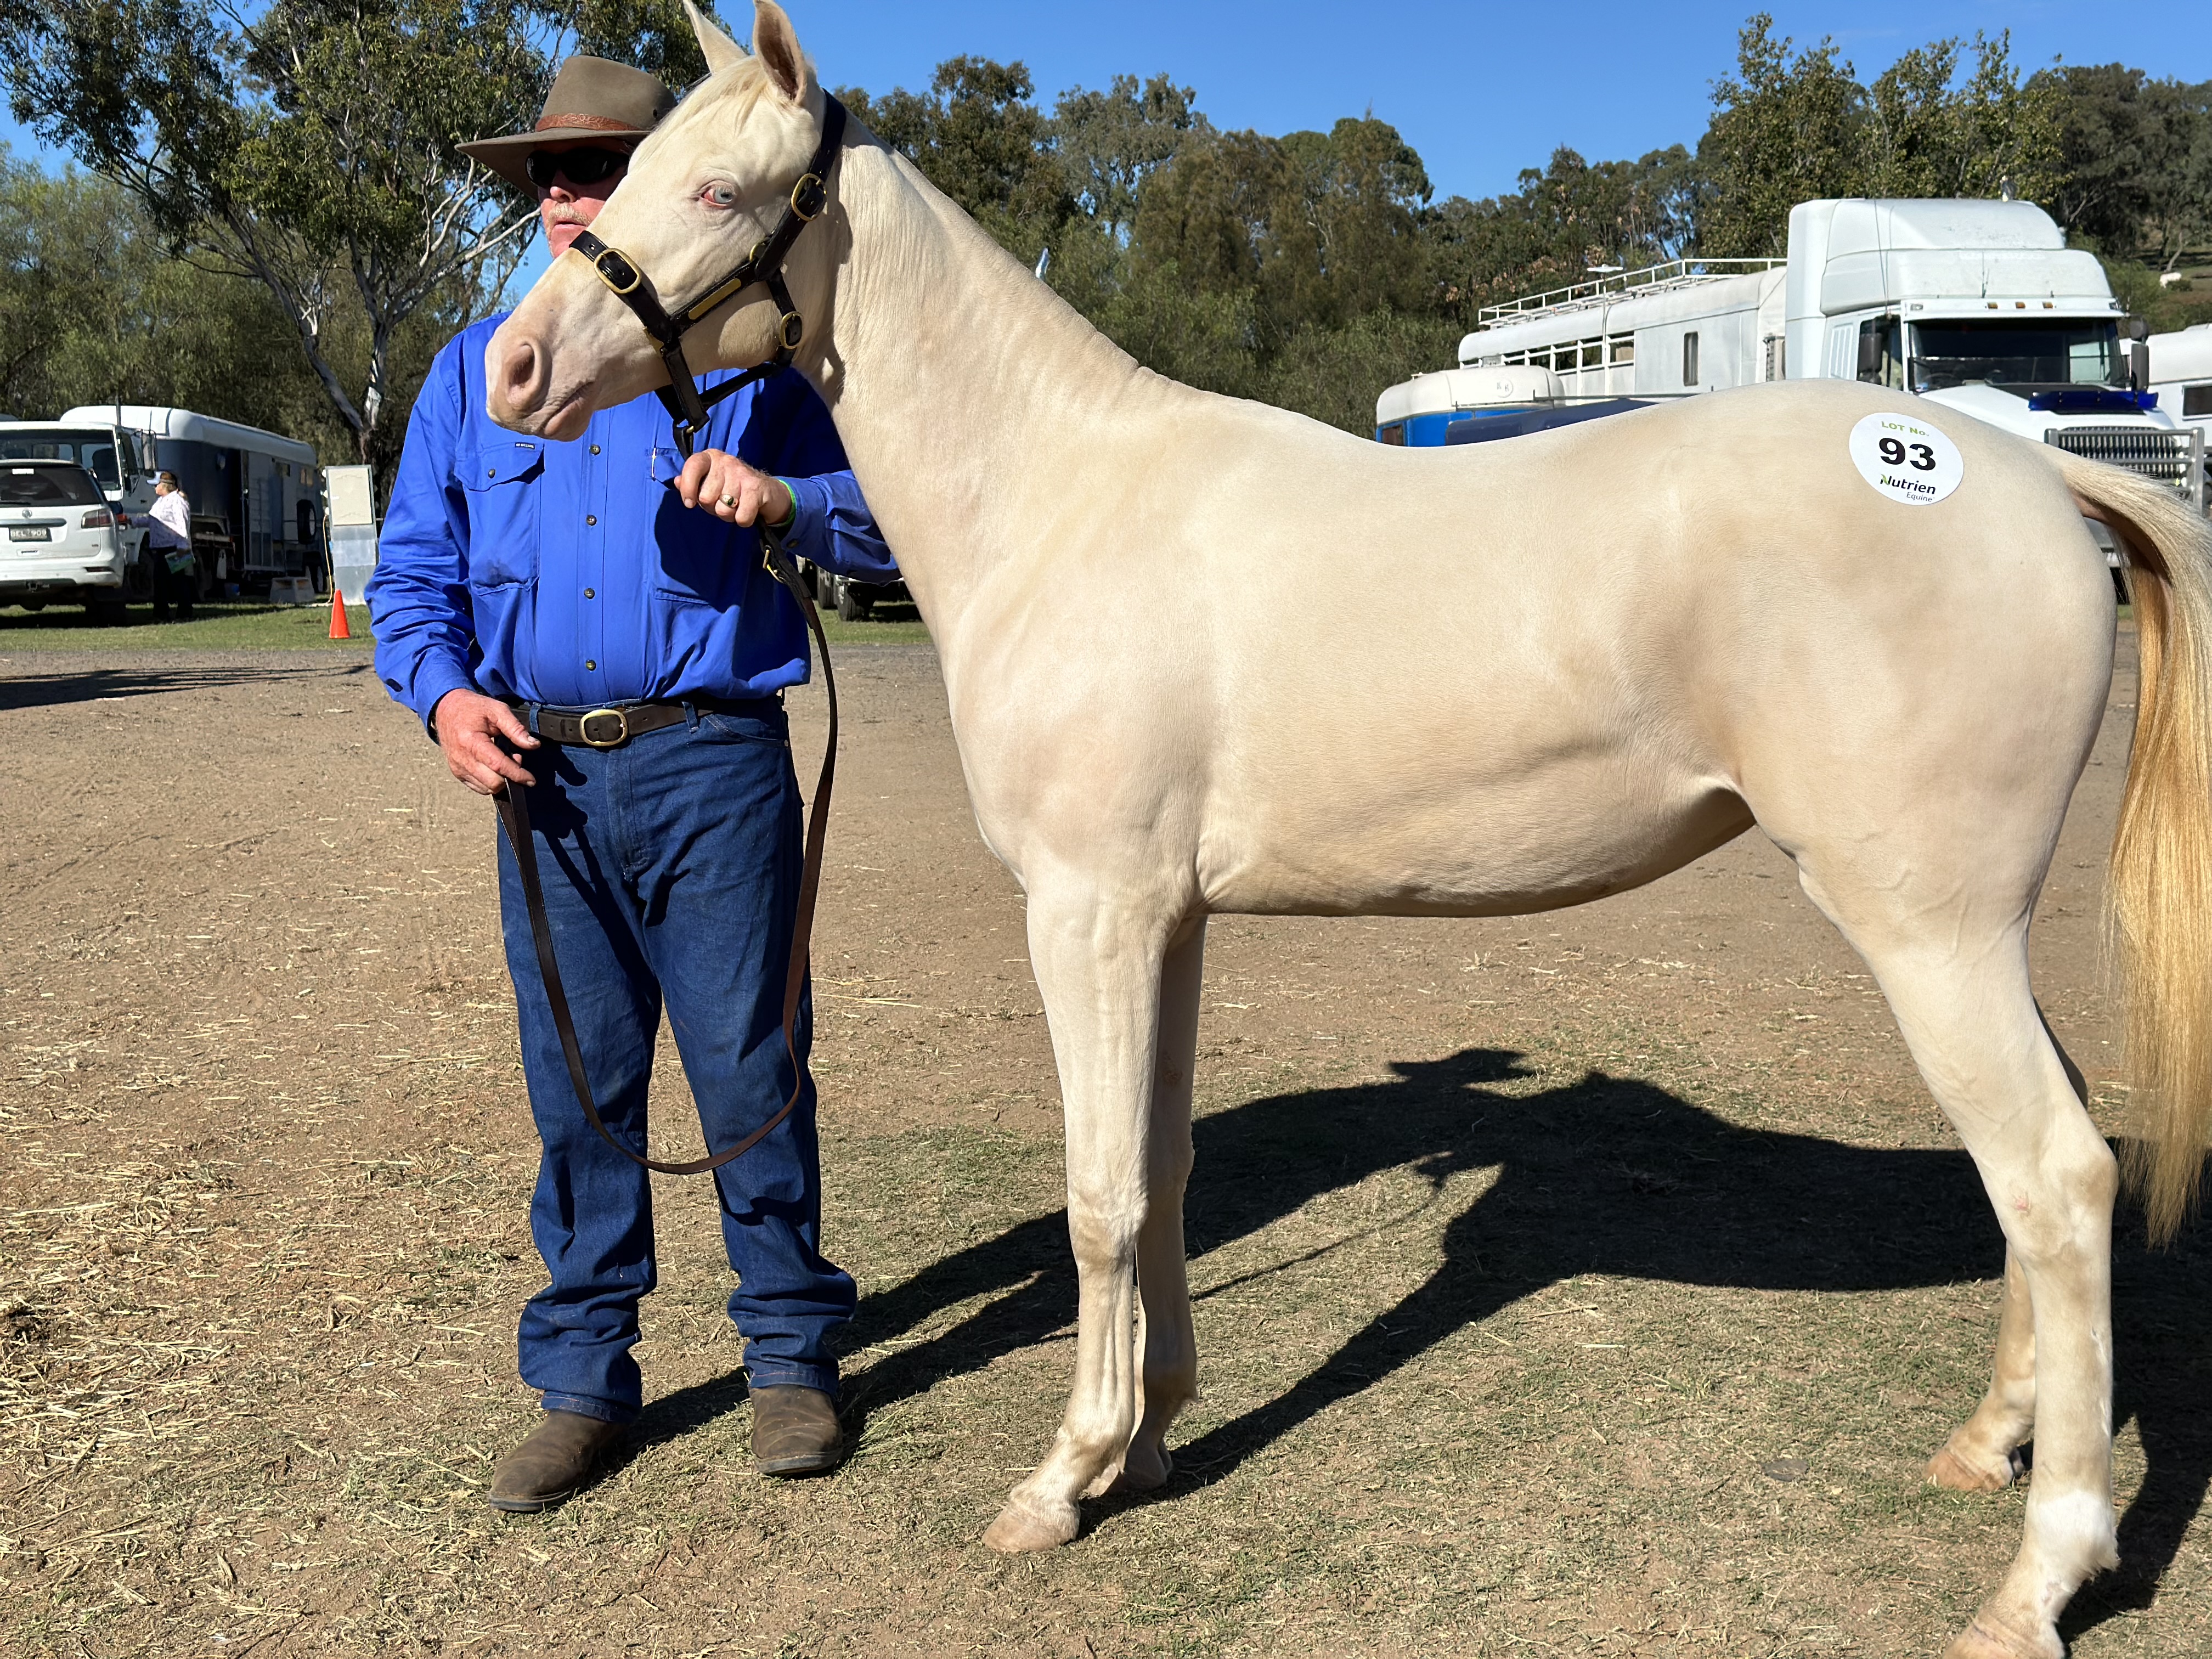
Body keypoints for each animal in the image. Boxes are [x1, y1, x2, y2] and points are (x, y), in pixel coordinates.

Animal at [482, 7, 2212, 1654]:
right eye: (625, 178)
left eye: (720, 190)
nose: (511, 371)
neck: (1063, 501)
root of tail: (2032, 476)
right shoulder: (1165, 922)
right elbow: (1164, 1168)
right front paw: (1153, 1441)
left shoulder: (1087, 914)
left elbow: (1099, 1199)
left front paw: (1062, 1478)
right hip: (1971, 927)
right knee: (2051, 1161)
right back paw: (1986, 1444)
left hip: (1927, 929)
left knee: (2056, 1179)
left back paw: (2037, 1581)